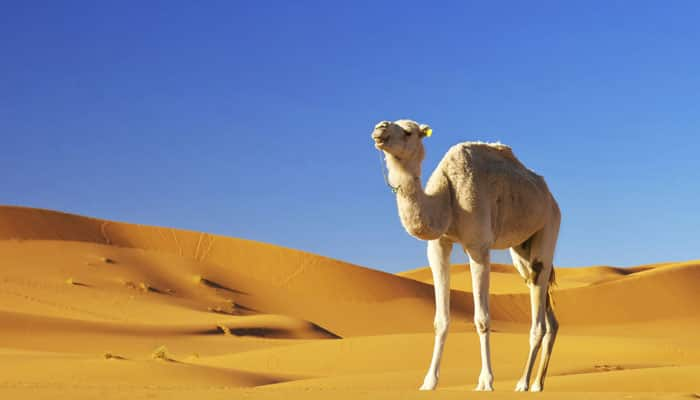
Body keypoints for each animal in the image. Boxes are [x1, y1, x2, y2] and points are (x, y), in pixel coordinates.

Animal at [372, 118, 564, 390]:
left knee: (538, 306)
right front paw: (428, 382)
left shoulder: (478, 246)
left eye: (408, 132)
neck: (446, 197)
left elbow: (482, 319)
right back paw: (537, 383)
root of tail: (550, 197)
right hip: (521, 250)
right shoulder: (438, 245)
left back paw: (523, 383)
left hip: (549, 225)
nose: (380, 128)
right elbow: (441, 320)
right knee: (543, 301)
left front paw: (485, 382)